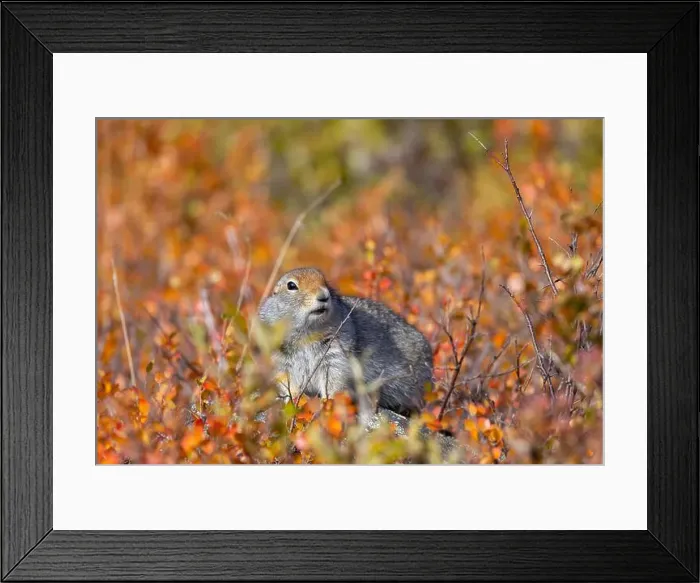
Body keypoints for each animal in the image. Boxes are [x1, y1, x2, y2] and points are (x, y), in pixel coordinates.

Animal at [258, 267, 432, 417]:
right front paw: (293, 399)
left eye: (325, 281)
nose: (324, 296)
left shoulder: (335, 351)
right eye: (291, 285)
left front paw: (328, 401)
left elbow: (334, 376)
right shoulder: (279, 356)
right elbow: (286, 379)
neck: (308, 331)